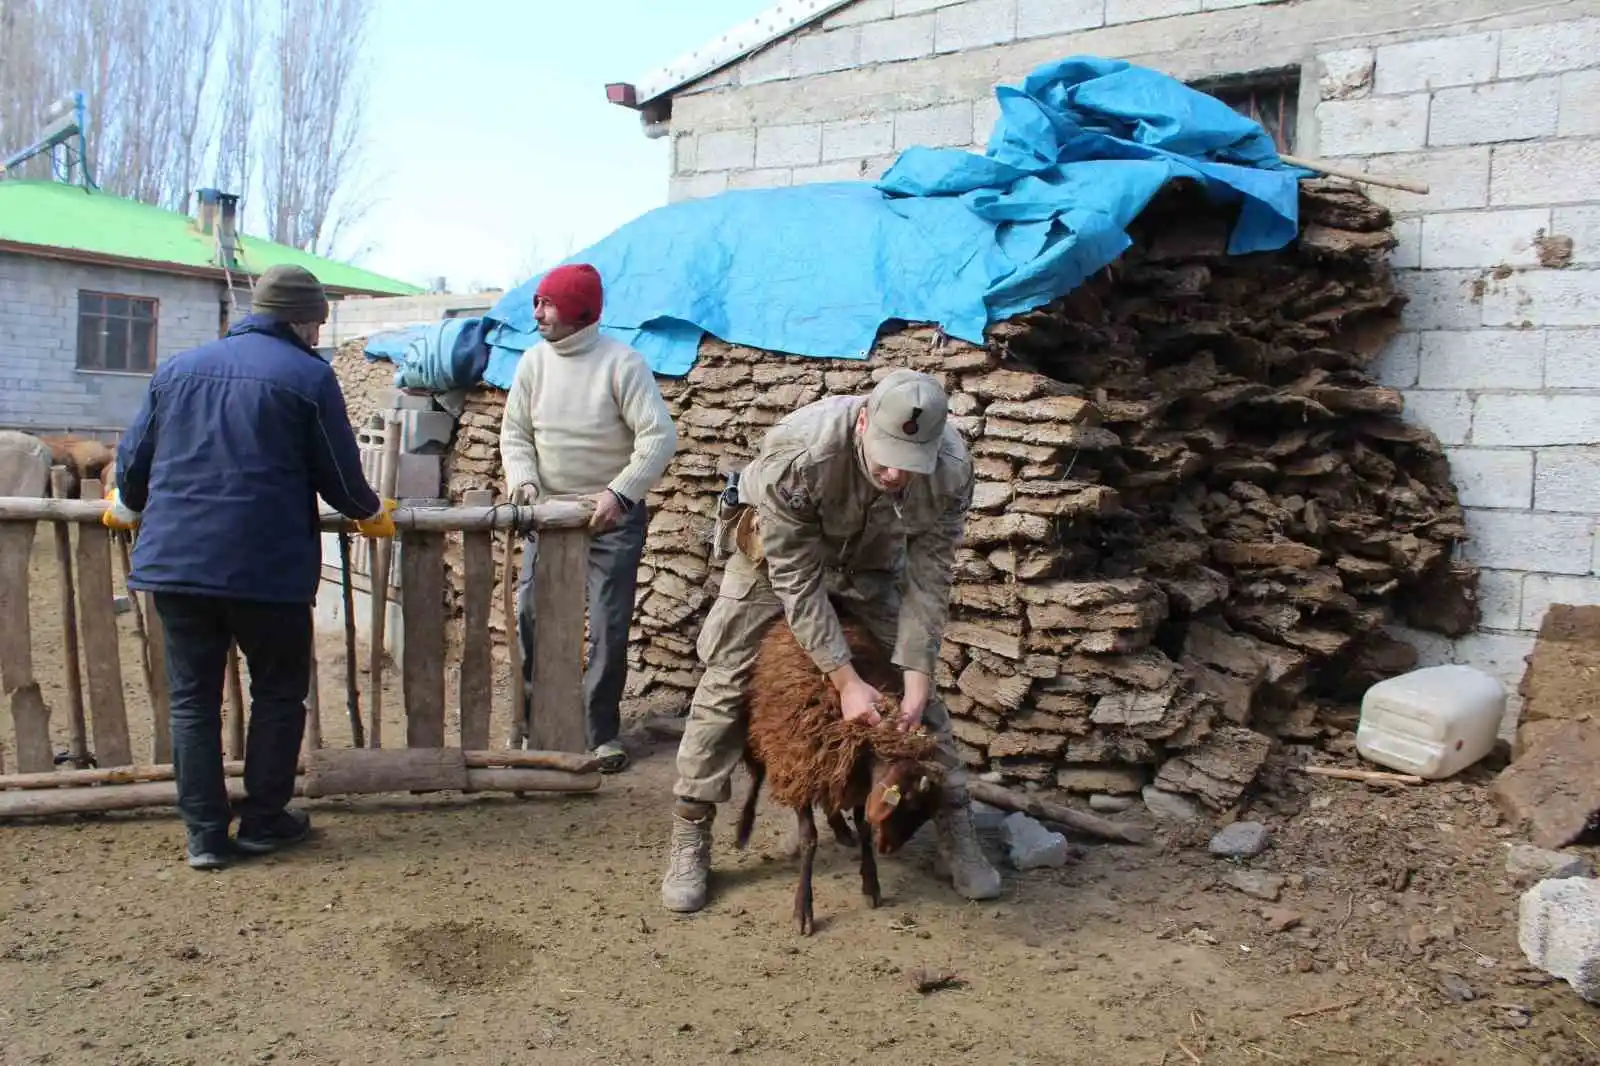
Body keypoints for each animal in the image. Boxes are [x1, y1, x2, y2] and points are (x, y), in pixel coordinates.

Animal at [739, 601, 947, 934]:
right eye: (910, 804)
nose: (889, 849)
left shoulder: (856, 780)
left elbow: (864, 828)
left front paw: (871, 883)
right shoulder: (800, 768)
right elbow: (809, 839)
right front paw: (803, 909)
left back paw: (839, 827)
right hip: (763, 728)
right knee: (756, 775)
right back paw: (743, 830)